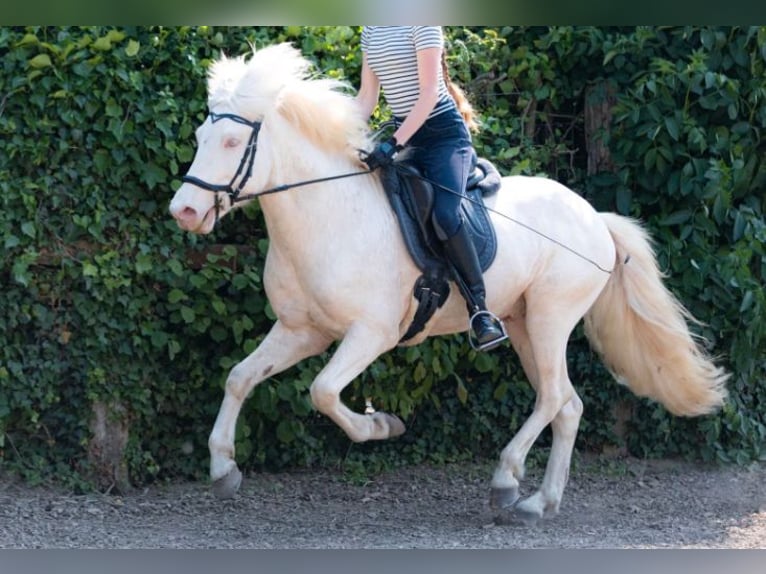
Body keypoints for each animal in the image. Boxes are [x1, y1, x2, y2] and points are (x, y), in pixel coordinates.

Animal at [171, 42, 728, 524]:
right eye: (200, 139)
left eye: (232, 142)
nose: (185, 211)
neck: (327, 214)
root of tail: (595, 217)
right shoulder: (302, 330)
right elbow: (239, 377)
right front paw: (223, 469)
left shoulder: (373, 333)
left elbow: (323, 391)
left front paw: (381, 425)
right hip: (522, 324)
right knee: (568, 404)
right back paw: (539, 503)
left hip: (551, 317)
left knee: (552, 398)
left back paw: (506, 482)